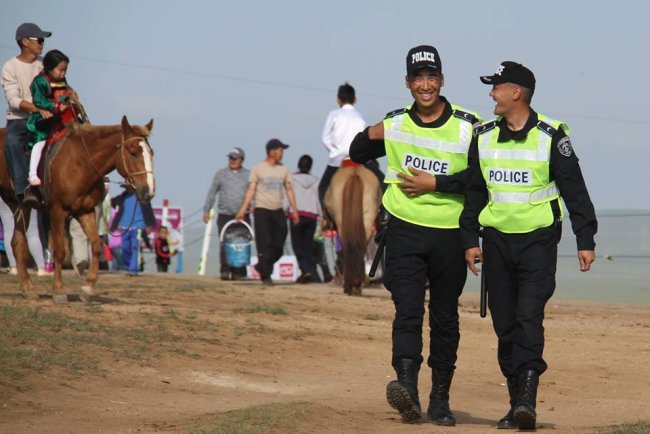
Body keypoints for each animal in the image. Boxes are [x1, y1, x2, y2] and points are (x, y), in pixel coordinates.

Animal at [0, 117, 154, 304]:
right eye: (133, 152)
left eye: (151, 153)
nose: (148, 190)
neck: (81, 162)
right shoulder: (57, 211)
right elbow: (59, 251)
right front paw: (58, 290)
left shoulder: (85, 211)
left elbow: (96, 246)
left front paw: (88, 288)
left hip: (20, 206)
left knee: (17, 243)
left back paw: (27, 287)